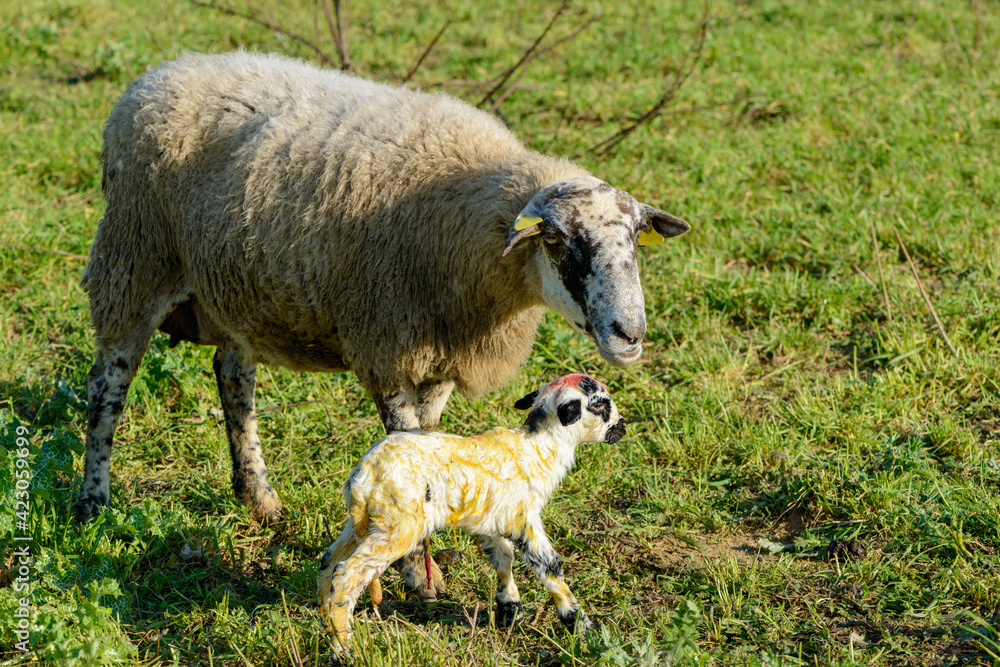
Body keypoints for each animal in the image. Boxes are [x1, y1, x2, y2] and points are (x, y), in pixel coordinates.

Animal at [77, 50, 689, 598]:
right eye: (559, 243)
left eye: (635, 240)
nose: (630, 335)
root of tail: (162, 72)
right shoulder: (387, 343)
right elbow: (404, 448)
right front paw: (420, 577)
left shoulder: (442, 353)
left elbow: (427, 445)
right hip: (134, 260)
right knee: (108, 384)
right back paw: (92, 504)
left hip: (236, 286)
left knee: (231, 374)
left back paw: (260, 500)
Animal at [317, 373, 625, 657]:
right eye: (600, 404)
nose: (622, 426)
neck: (539, 447)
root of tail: (363, 476)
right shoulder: (524, 519)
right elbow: (550, 568)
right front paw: (580, 625)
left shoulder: (493, 523)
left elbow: (502, 560)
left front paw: (510, 612)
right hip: (397, 525)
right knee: (347, 574)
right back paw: (344, 650)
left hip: (362, 524)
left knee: (329, 563)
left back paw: (329, 632)